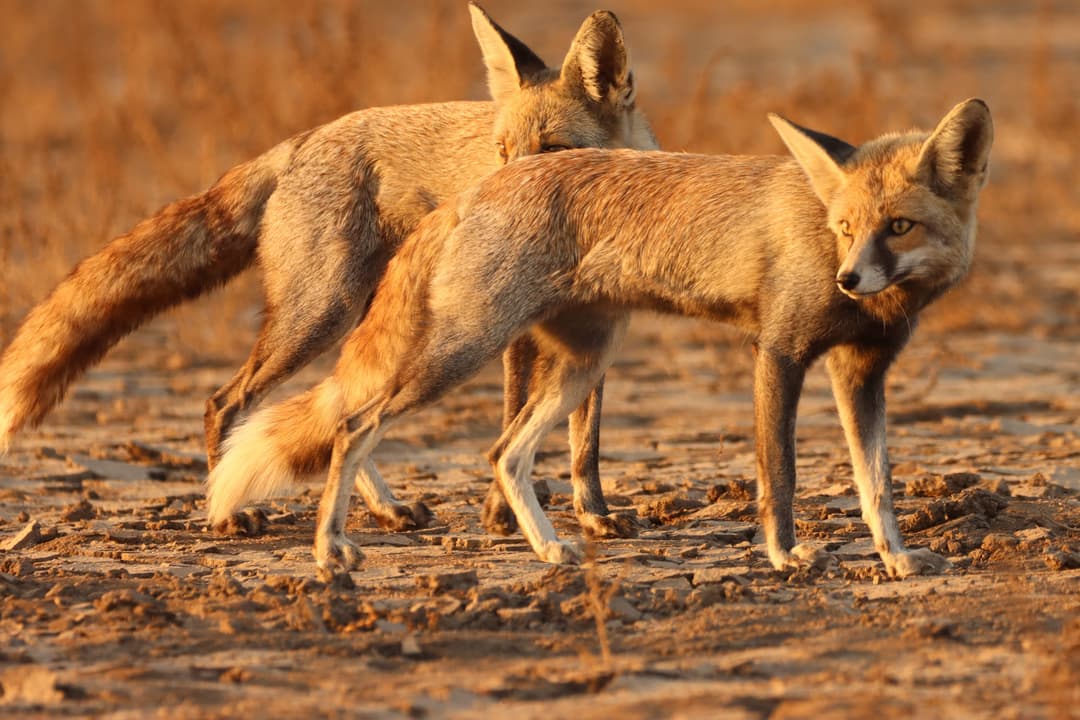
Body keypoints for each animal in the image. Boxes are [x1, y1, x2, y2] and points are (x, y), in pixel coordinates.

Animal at [0, 4, 656, 537]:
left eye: (550, 150)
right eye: (501, 152)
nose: (499, 197)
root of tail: (304, 138)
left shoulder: (595, 331)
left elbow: (584, 441)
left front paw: (594, 516)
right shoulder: (511, 330)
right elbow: (516, 423)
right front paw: (502, 515)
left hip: (361, 318)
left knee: (341, 411)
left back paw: (386, 510)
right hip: (322, 313)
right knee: (225, 403)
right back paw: (227, 514)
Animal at [206, 99, 993, 578]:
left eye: (898, 227)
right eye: (845, 228)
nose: (849, 279)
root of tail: (477, 188)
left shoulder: (862, 373)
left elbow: (876, 484)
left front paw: (897, 561)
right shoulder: (780, 354)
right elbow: (783, 478)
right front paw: (783, 558)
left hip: (583, 363)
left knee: (503, 452)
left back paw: (551, 549)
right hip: (455, 349)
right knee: (352, 427)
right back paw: (329, 549)